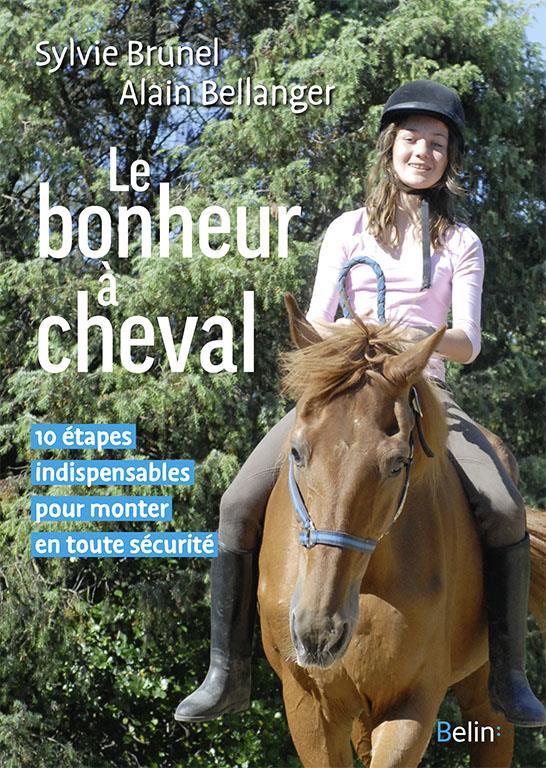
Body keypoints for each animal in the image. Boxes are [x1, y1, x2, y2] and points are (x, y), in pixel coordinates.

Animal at [258, 294, 545, 768]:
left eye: (396, 464)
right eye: (296, 451)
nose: (319, 631)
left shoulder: (413, 700)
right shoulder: (308, 705)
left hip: (485, 693)